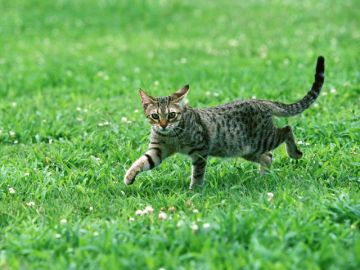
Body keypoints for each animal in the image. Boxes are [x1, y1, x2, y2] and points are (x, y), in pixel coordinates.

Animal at [124, 56, 324, 189]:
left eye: (172, 115)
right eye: (155, 116)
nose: (164, 124)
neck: (171, 136)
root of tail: (261, 101)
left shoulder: (200, 150)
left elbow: (197, 173)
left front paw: (194, 191)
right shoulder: (158, 149)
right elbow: (142, 161)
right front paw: (129, 176)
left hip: (263, 139)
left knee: (287, 129)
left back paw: (294, 153)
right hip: (248, 149)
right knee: (268, 156)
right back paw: (263, 178)